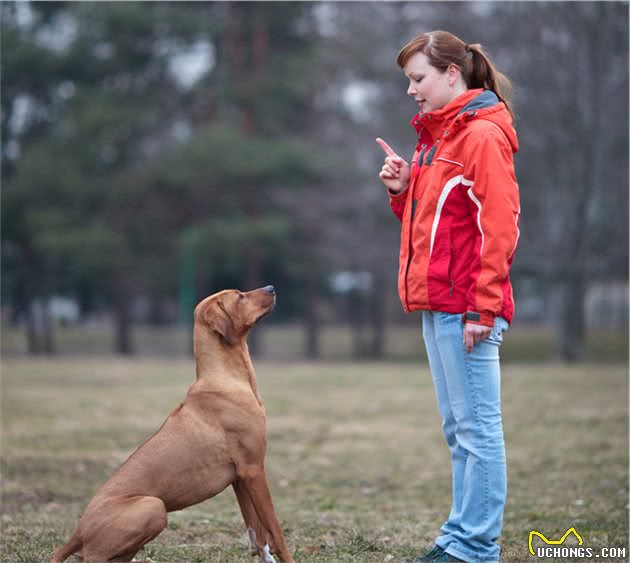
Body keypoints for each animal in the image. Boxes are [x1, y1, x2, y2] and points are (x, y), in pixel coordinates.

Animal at [50, 286, 296, 563]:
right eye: (239, 297)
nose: (271, 288)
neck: (226, 378)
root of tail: (77, 533)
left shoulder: (240, 477)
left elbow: (257, 532)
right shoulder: (253, 470)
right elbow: (276, 531)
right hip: (153, 506)